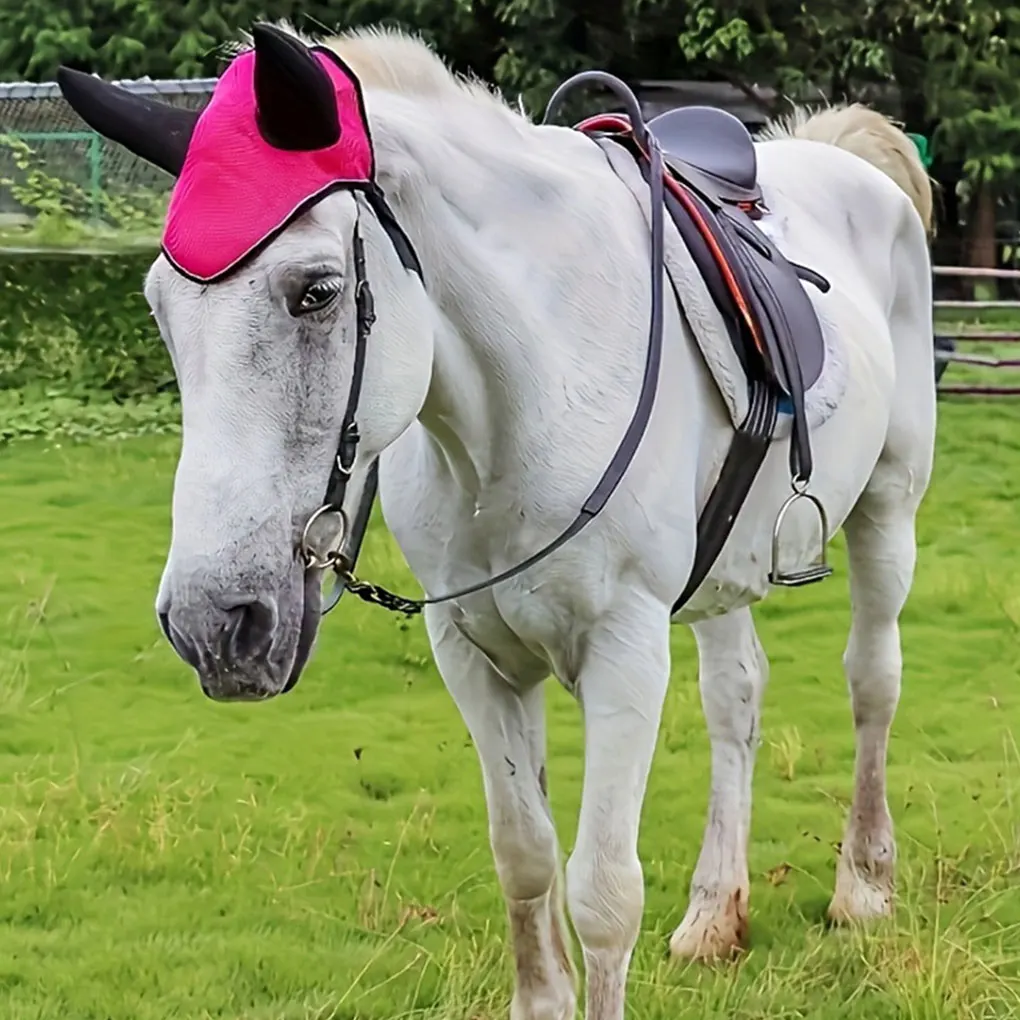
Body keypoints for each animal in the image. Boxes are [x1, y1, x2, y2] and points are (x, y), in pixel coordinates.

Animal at [56, 22, 936, 1020]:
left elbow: (602, 895)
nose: (214, 624)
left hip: (888, 513)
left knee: (872, 680)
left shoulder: (626, 653)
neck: (525, 401)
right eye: (160, 310)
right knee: (736, 698)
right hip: (724, 571)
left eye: (317, 291)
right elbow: (525, 861)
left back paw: (863, 885)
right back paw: (716, 913)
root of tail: (837, 153)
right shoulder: (473, 653)